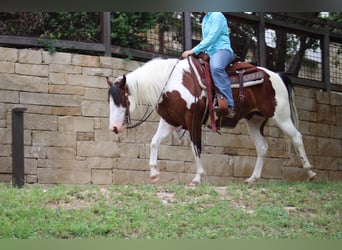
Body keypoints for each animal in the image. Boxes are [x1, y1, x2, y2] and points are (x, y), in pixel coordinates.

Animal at [105, 57, 316, 186]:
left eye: (120, 100)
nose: (114, 128)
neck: (169, 82)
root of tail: (276, 75)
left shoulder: (193, 120)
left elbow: (195, 147)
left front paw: (198, 177)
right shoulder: (169, 121)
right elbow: (154, 142)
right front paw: (154, 173)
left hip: (281, 116)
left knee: (297, 137)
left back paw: (311, 173)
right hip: (254, 121)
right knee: (262, 147)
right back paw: (252, 179)